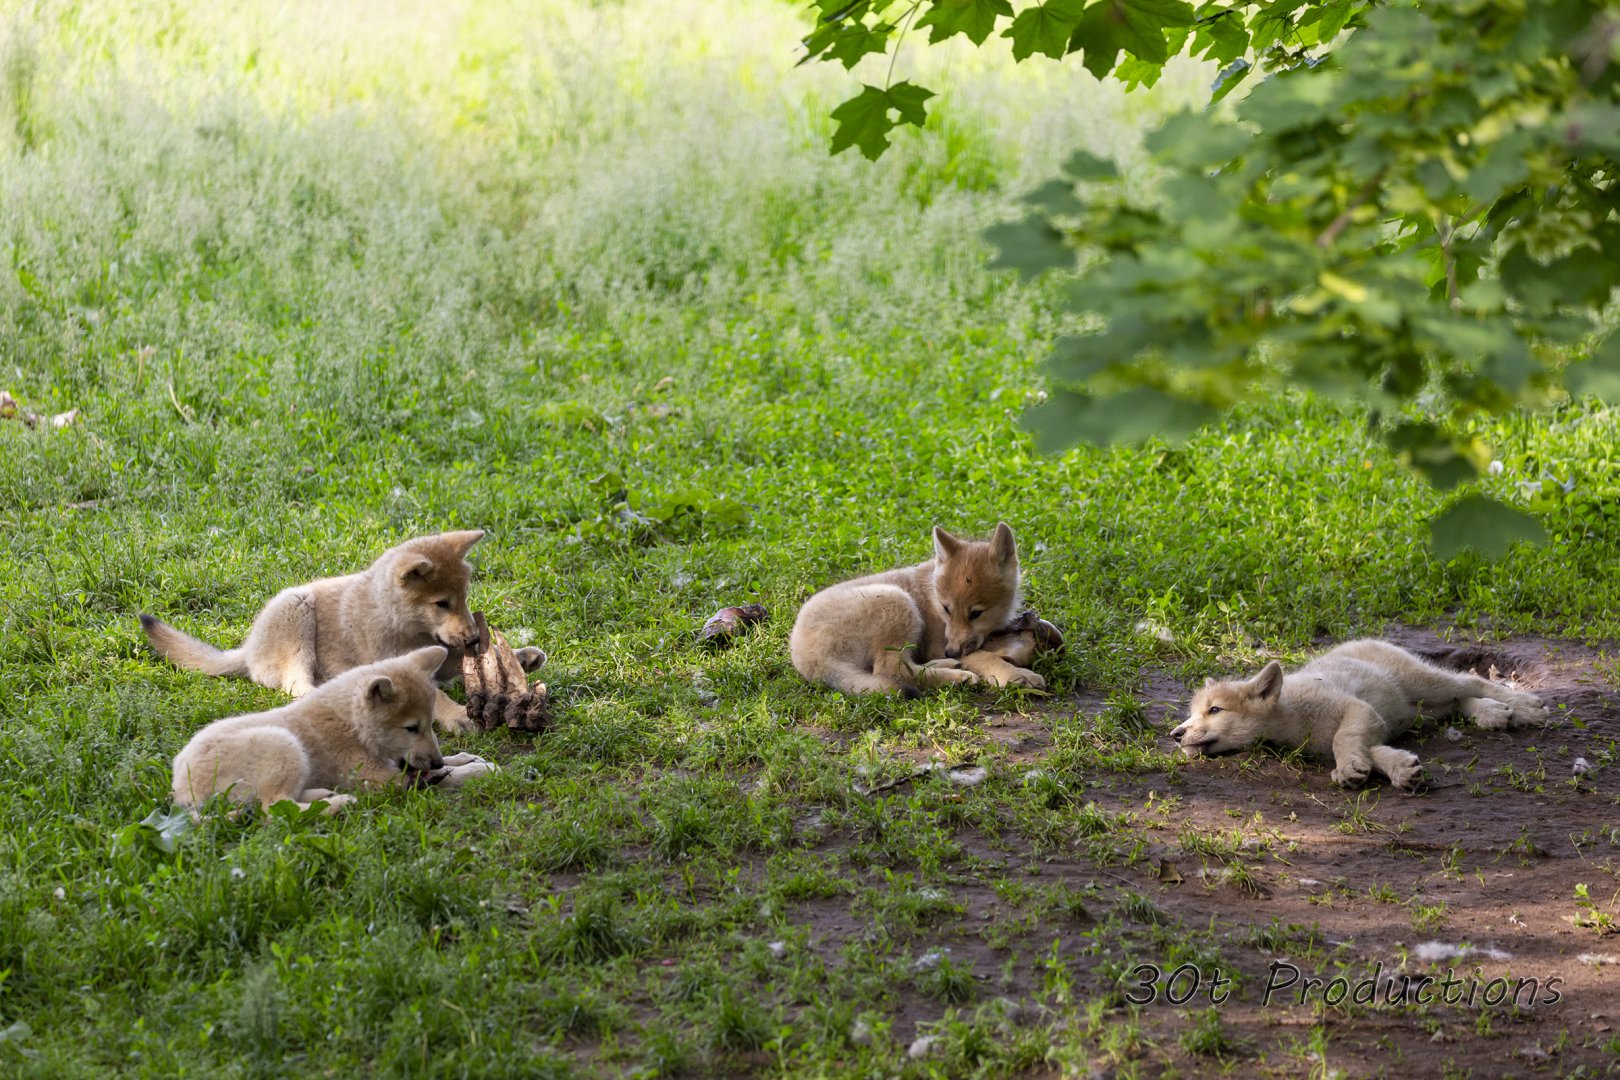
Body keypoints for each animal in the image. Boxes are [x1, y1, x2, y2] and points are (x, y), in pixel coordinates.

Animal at [139, 530, 539, 731]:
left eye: (464, 598)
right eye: (442, 603)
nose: (473, 637)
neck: (397, 619)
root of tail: (248, 649)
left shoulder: (441, 655)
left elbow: (462, 661)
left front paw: (520, 655)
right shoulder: (399, 663)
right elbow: (437, 695)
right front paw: (457, 715)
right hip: (297, 613)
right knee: (295, 687)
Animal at [170, 645, 493, 813]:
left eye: (429, 724)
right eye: (411, 728)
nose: (435, 761)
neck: (353, 725)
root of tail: (182, 790)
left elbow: (432, 766)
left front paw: (466, 759)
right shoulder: (381, 779)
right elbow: (437, 777)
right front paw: (473, 771)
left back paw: (322, 794)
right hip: (284, 745)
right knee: (273, 809)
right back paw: (338, 802)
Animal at [790, 523, 1045, 697]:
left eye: (976, 613)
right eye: (946, 608)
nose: (951, 652)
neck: (931, 591)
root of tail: (807, 658)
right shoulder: (939, 643)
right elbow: (983, 656)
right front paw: (1016, 675)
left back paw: (948, 667)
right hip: (896, 603)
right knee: (892, 671)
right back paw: (956, 676)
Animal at [1170, 639, 1549, 791]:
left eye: (1214, 710)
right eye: (1192, 713)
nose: (1175, 735)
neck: (1291, 716)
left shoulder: (1356, 711)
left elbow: (1345, 738)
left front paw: (1351, 768)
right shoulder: (1370, 726)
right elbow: (1373, 751)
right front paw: (1399, 769)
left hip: (1423, 682)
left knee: (1470, 681)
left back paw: (1527, 708)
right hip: (1420, 708)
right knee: (1459, 699)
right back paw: (1491, 713)